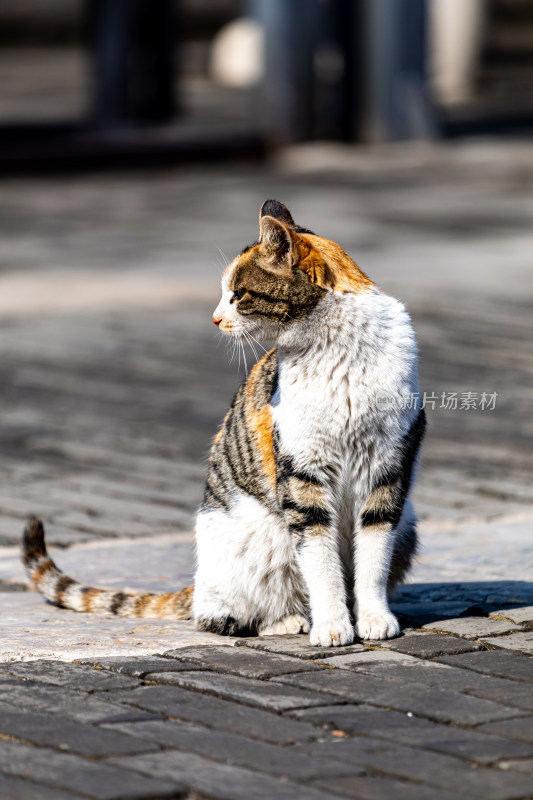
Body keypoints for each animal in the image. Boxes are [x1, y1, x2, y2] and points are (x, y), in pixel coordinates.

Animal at [22, 202, 426, 648]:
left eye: (238, 294)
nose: (214, 319)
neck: (334, 348)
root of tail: (197, 584)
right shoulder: (303, 476)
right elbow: (320, 563)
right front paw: (333, 626)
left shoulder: (387, 471)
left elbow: (372, 558)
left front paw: (373, 619)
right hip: (258, 539)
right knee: (219, 616)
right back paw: (288, 621)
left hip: (408, 523)